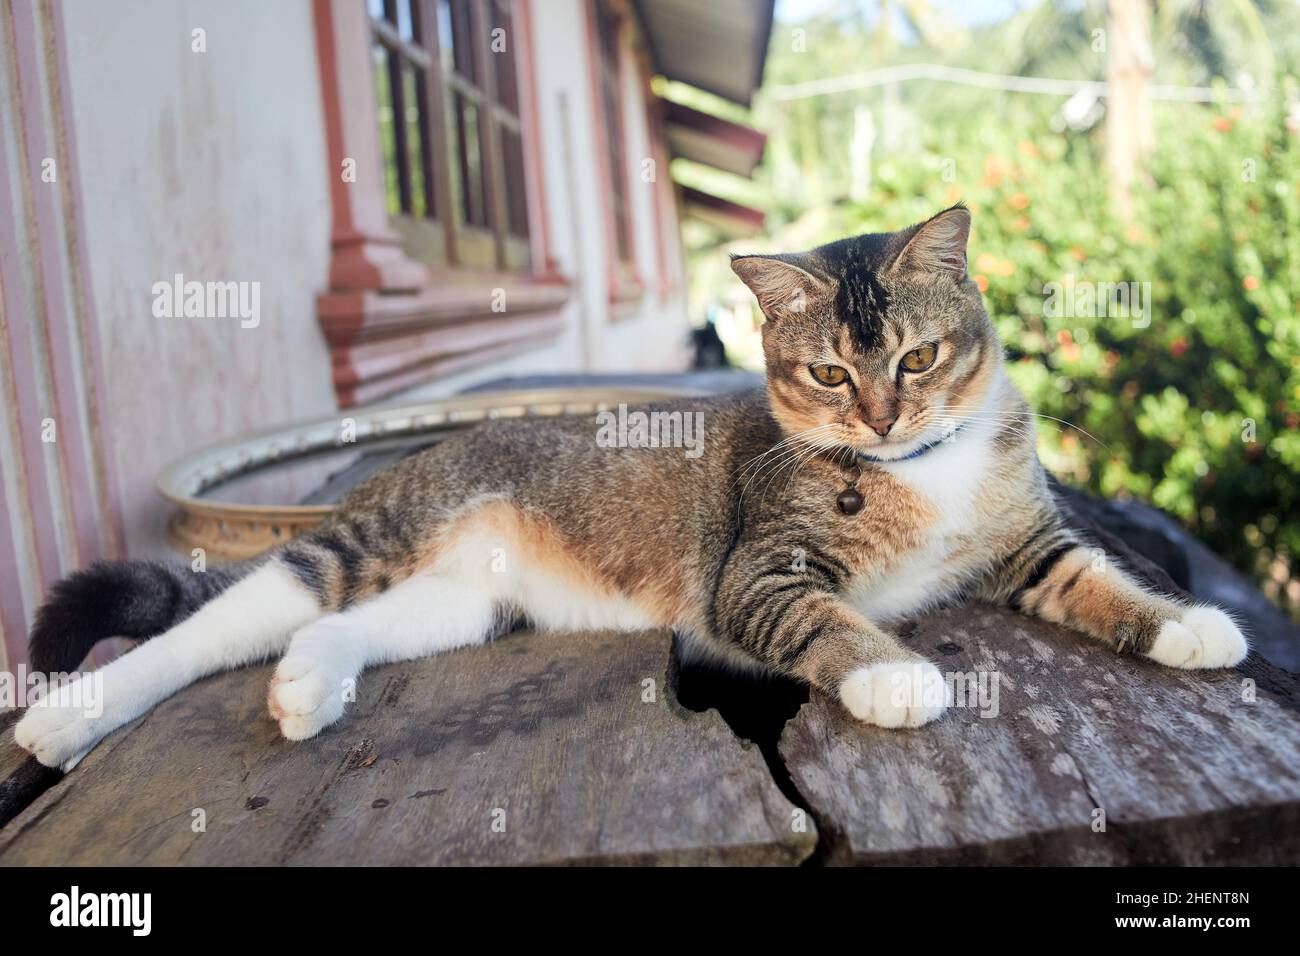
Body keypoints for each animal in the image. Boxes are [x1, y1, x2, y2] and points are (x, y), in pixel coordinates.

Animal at [12, 208, 1248, 770]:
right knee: (220, 623)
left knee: (333, 630)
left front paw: (1186, 626)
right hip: (362, 542)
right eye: (830, 374)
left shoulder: (1027, 542)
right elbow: (827, 621)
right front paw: (894, 674)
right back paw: (73, 712)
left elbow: (1097, 578)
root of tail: (417, 459)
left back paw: (309, 686)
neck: (921, 473)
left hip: (466, 599)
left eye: (918, 358)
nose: (881, 417)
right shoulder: (759, 574)